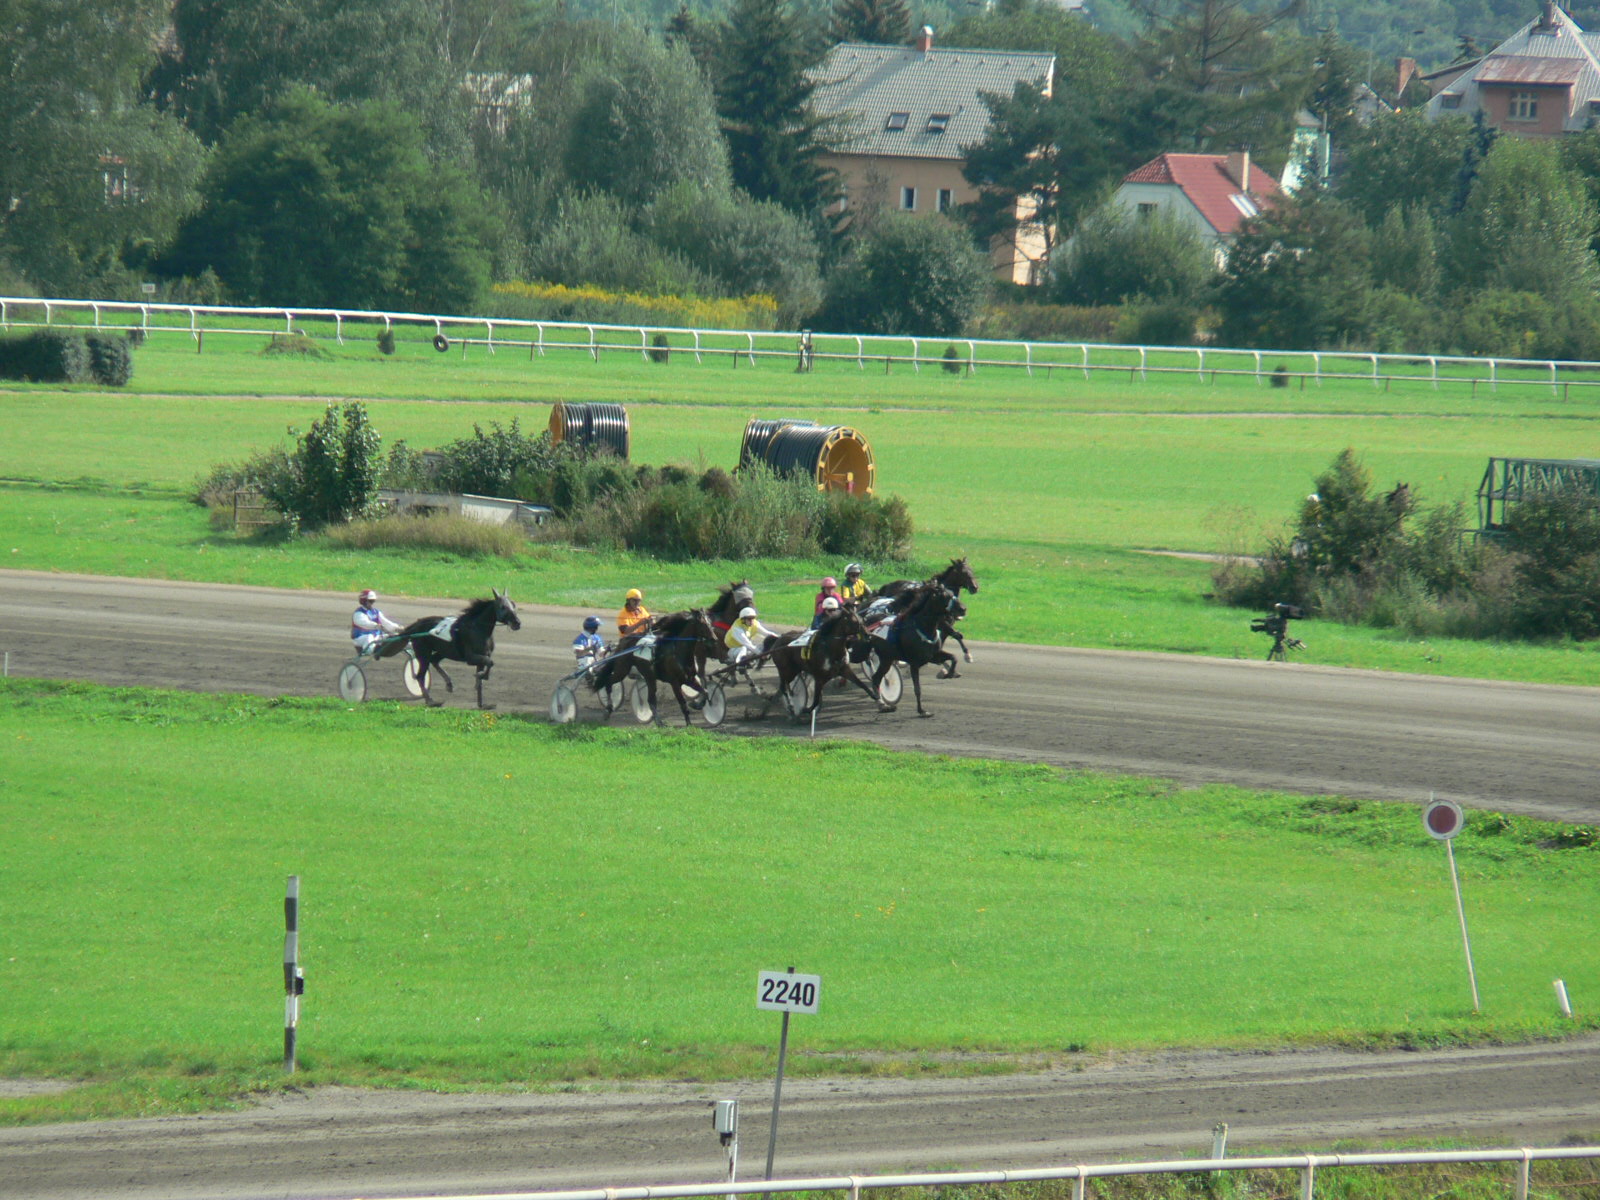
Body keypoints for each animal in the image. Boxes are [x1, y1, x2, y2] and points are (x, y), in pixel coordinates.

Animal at [387, 588, 518, 710]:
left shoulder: (482, 656)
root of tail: (416, 625)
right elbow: (490, 663)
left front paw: (482, 703)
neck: (477, 629)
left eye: (513, 605)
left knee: (434, 660)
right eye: (503, 607)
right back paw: (431, 701)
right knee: (420, 676)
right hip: (423, 653)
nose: (517, 623)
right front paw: (482, 676)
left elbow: (484, 673)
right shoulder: (471, 658)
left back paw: (448, 684)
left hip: (443, 651)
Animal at [870, 585, 953, 720]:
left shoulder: (932, 656)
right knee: (875, 678)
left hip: (886, 659)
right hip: (885, 658)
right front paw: (922, 711)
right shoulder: (914, 663)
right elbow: (917, 688)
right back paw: (881, 703)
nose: (961, 610)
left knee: (876, 678)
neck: (923, 627)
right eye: (944, 596)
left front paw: (949, 673)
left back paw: (883, 704)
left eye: (952, 595)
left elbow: (953, 657)